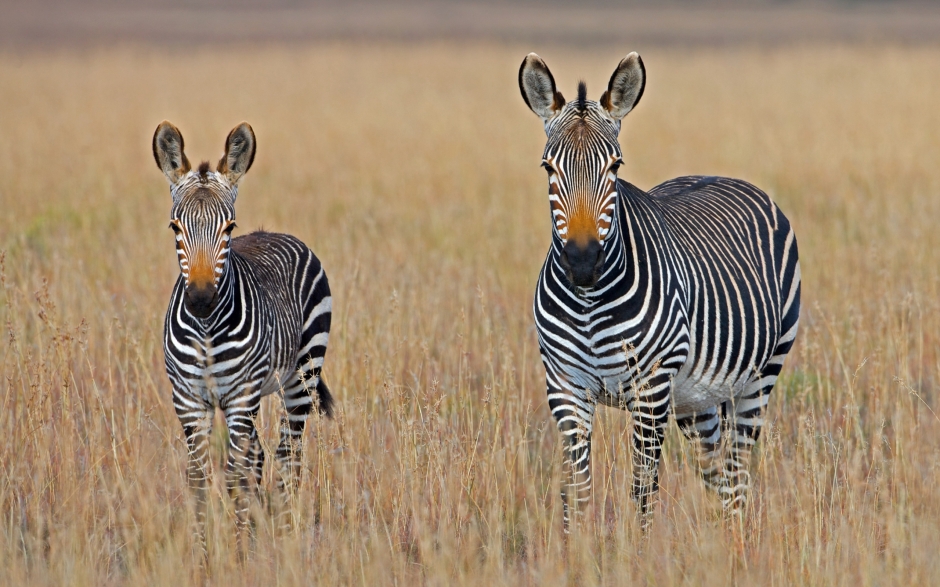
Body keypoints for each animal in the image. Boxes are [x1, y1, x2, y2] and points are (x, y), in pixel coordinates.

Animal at [151, 120, 334, 552]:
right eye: (175, 227)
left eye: (229, 227)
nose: (201, 300)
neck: (206, 330)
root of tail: (275, 233)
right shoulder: (189, 401)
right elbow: (200, 481)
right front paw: (203, 556)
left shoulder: (240, 398)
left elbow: (235, 479)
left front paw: (236, 556)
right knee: (262, 457)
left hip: (301, 378)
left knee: (288, 457)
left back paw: (285, 537)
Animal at [516, 54, 804, 532]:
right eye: (548, 169)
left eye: (615, 166)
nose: (582, 262)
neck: (589, 303)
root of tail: (720, 174)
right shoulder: (565, 387)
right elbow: (576, 494)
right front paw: (573, 549)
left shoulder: (651, 389)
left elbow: (642, 493)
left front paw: (639, 549)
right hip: (696, 398)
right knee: (716, 473)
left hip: (760, 376)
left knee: (737, 474)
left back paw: (736, 541)